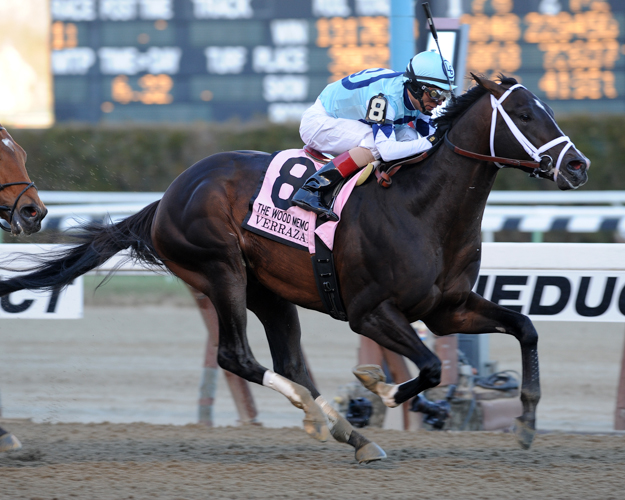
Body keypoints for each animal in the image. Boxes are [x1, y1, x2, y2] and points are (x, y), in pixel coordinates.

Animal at [0, 76, 588, 462]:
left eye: (548, 109)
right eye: (526, 114)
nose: (579, 166)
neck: (424, 210)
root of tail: (167, 197)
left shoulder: (449, 309)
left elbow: (525, 327)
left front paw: (526, 421)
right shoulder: (371, 312)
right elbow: (429, 367)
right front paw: (382, 392)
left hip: (271, 291)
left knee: (291, 362)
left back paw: (349, 433)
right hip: (221, 270)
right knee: (236, 355)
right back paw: (324, 417)